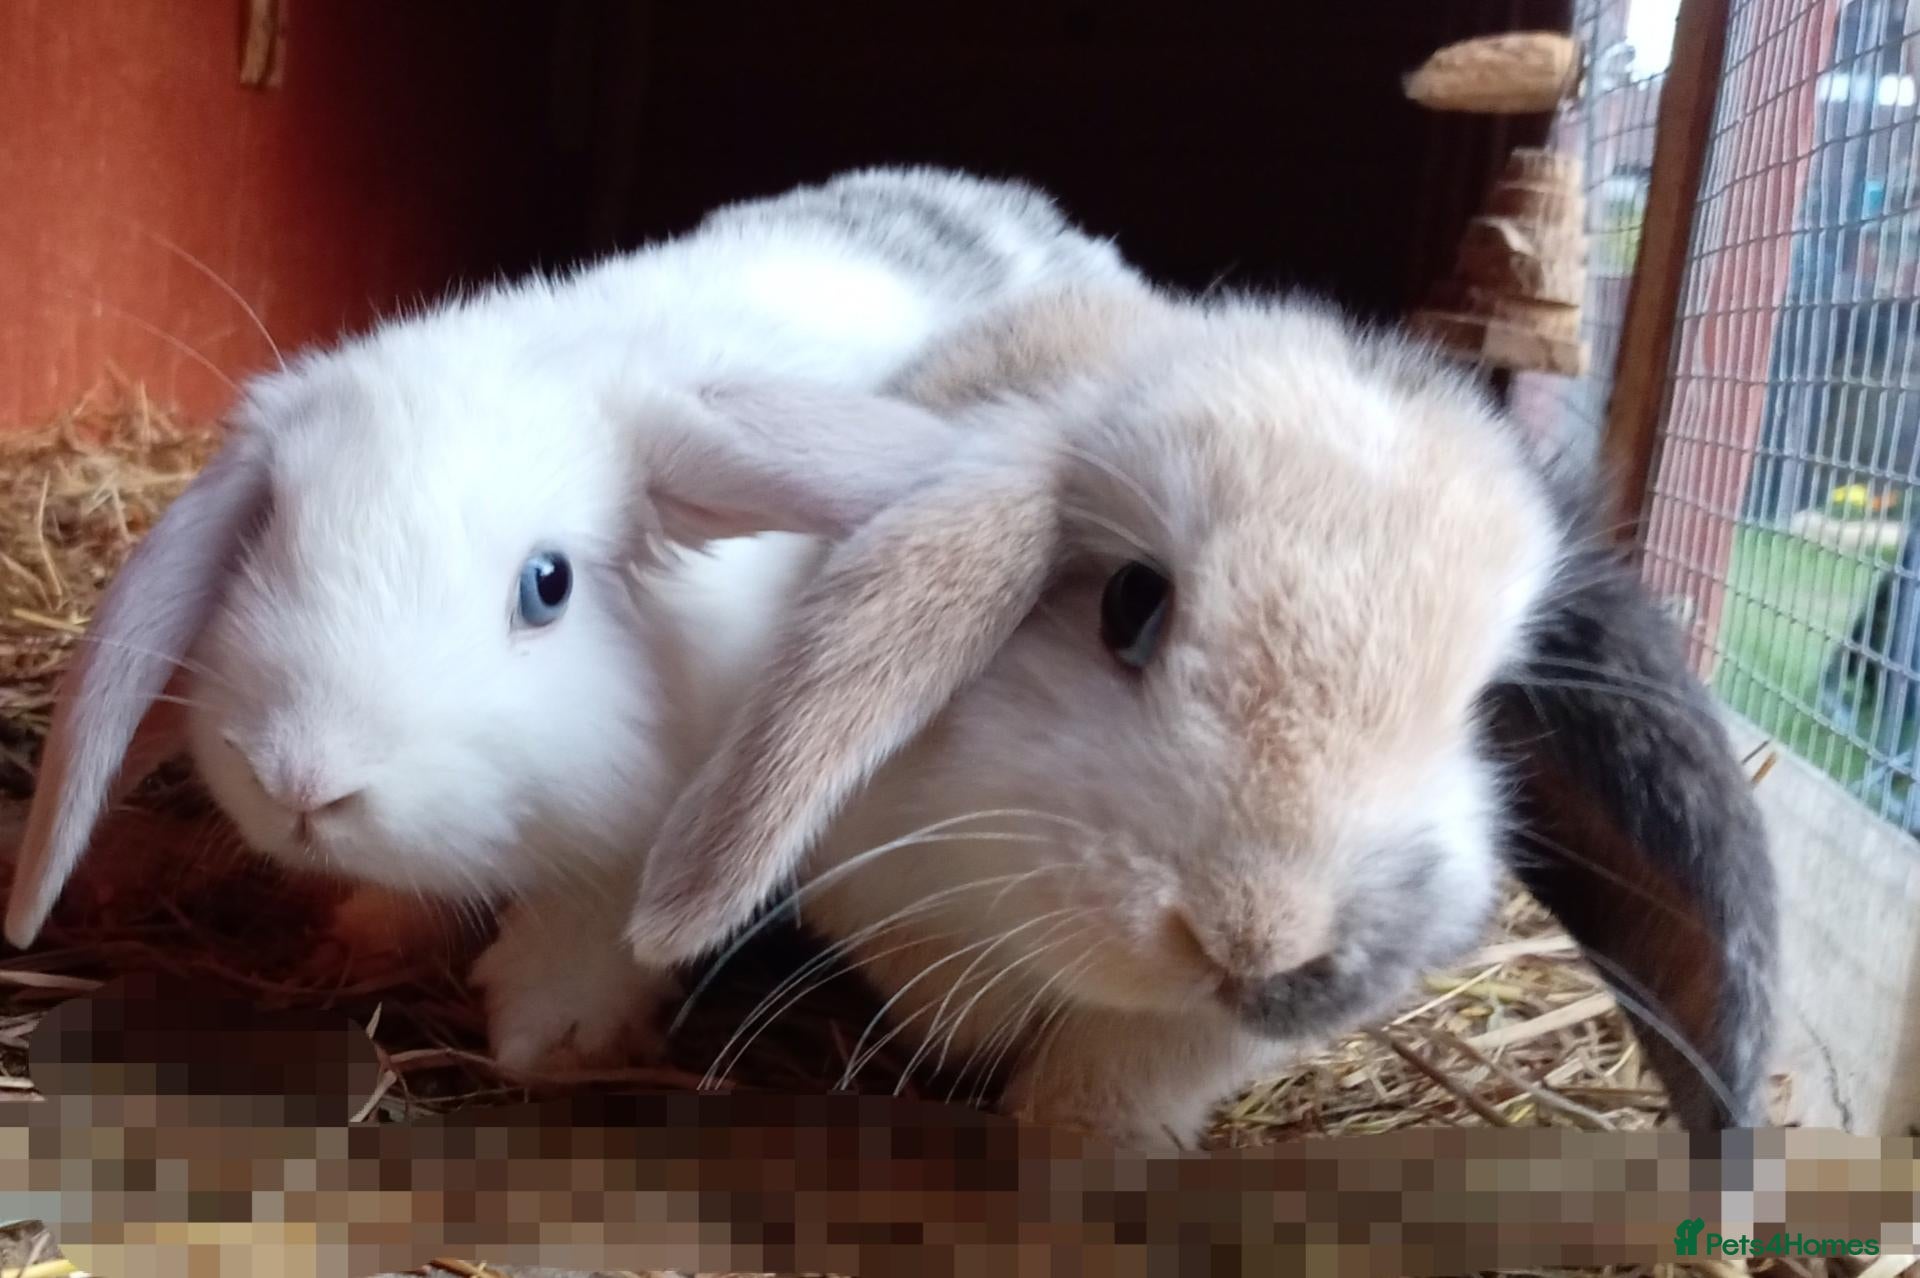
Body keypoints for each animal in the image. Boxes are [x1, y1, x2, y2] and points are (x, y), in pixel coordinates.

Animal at [3, 165, 1142, 1074]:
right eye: (268, 533)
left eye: (546, 585)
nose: (302, 783)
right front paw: (369, 936)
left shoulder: (660, 827)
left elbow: (598, 924)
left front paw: (546, 1036)